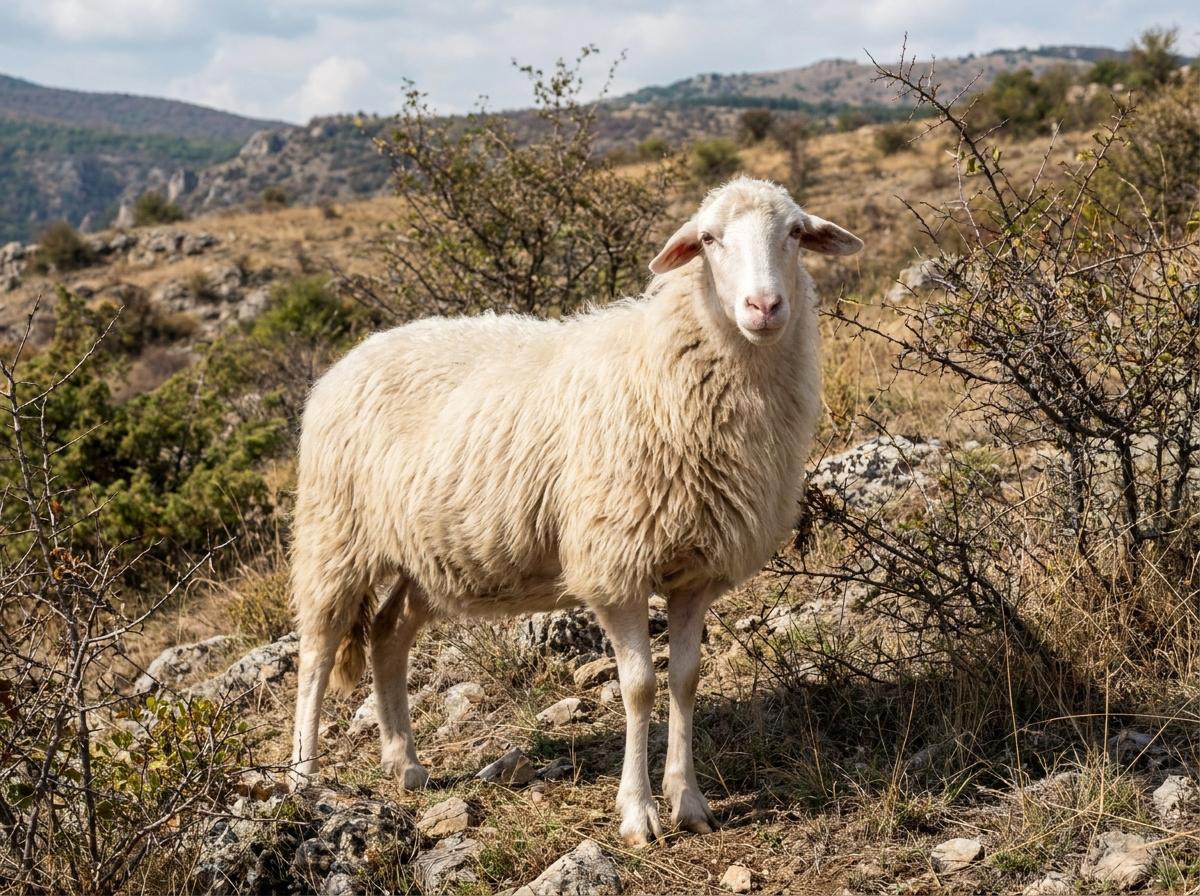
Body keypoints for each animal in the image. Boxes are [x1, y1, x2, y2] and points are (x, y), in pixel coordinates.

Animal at [290, 176, 862, 846]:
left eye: (795, 233)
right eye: (708, 239)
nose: (765, 307)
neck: (669, 364)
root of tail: (351, 356)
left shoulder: (696, 571)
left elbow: (686, 678)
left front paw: (688, 800)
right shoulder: (614, 563)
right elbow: (639, 686)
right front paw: (638, 813)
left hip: (425, 554)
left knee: (387, 634)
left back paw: (405, 763)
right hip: (334, 533)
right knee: (317, 652)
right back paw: (302, 777)